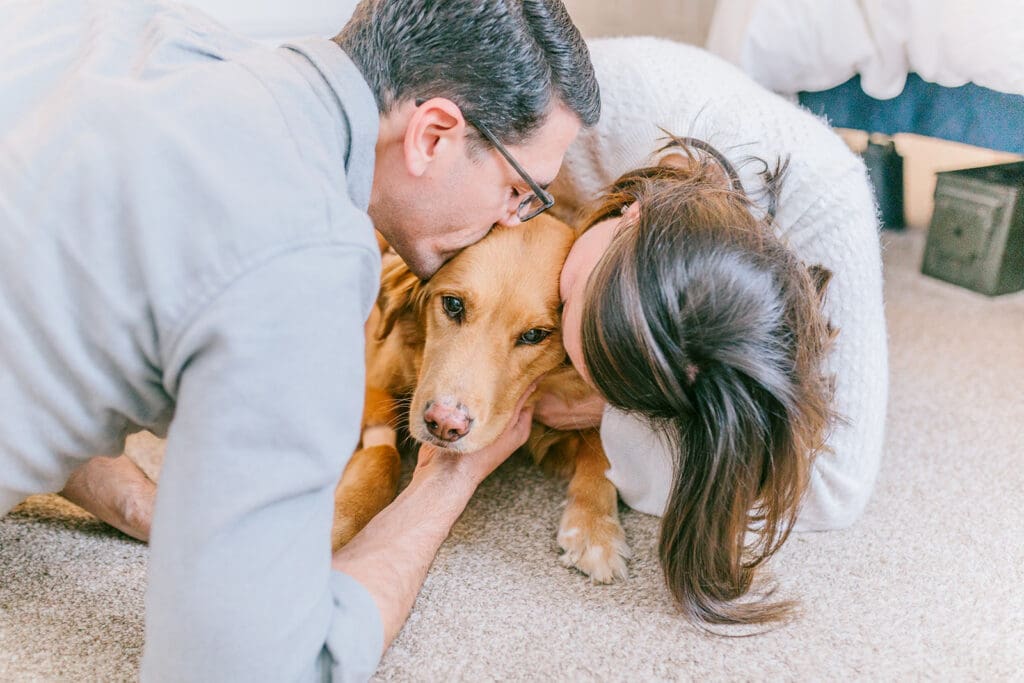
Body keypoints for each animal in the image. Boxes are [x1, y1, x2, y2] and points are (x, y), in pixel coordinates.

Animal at [331, 216, 626, 585]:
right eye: (453, 305)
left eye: (534, 335)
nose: (444, 424)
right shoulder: (373, 387)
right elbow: (384, 455)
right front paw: (341, 518)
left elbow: (601, 447)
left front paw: (595, 531)